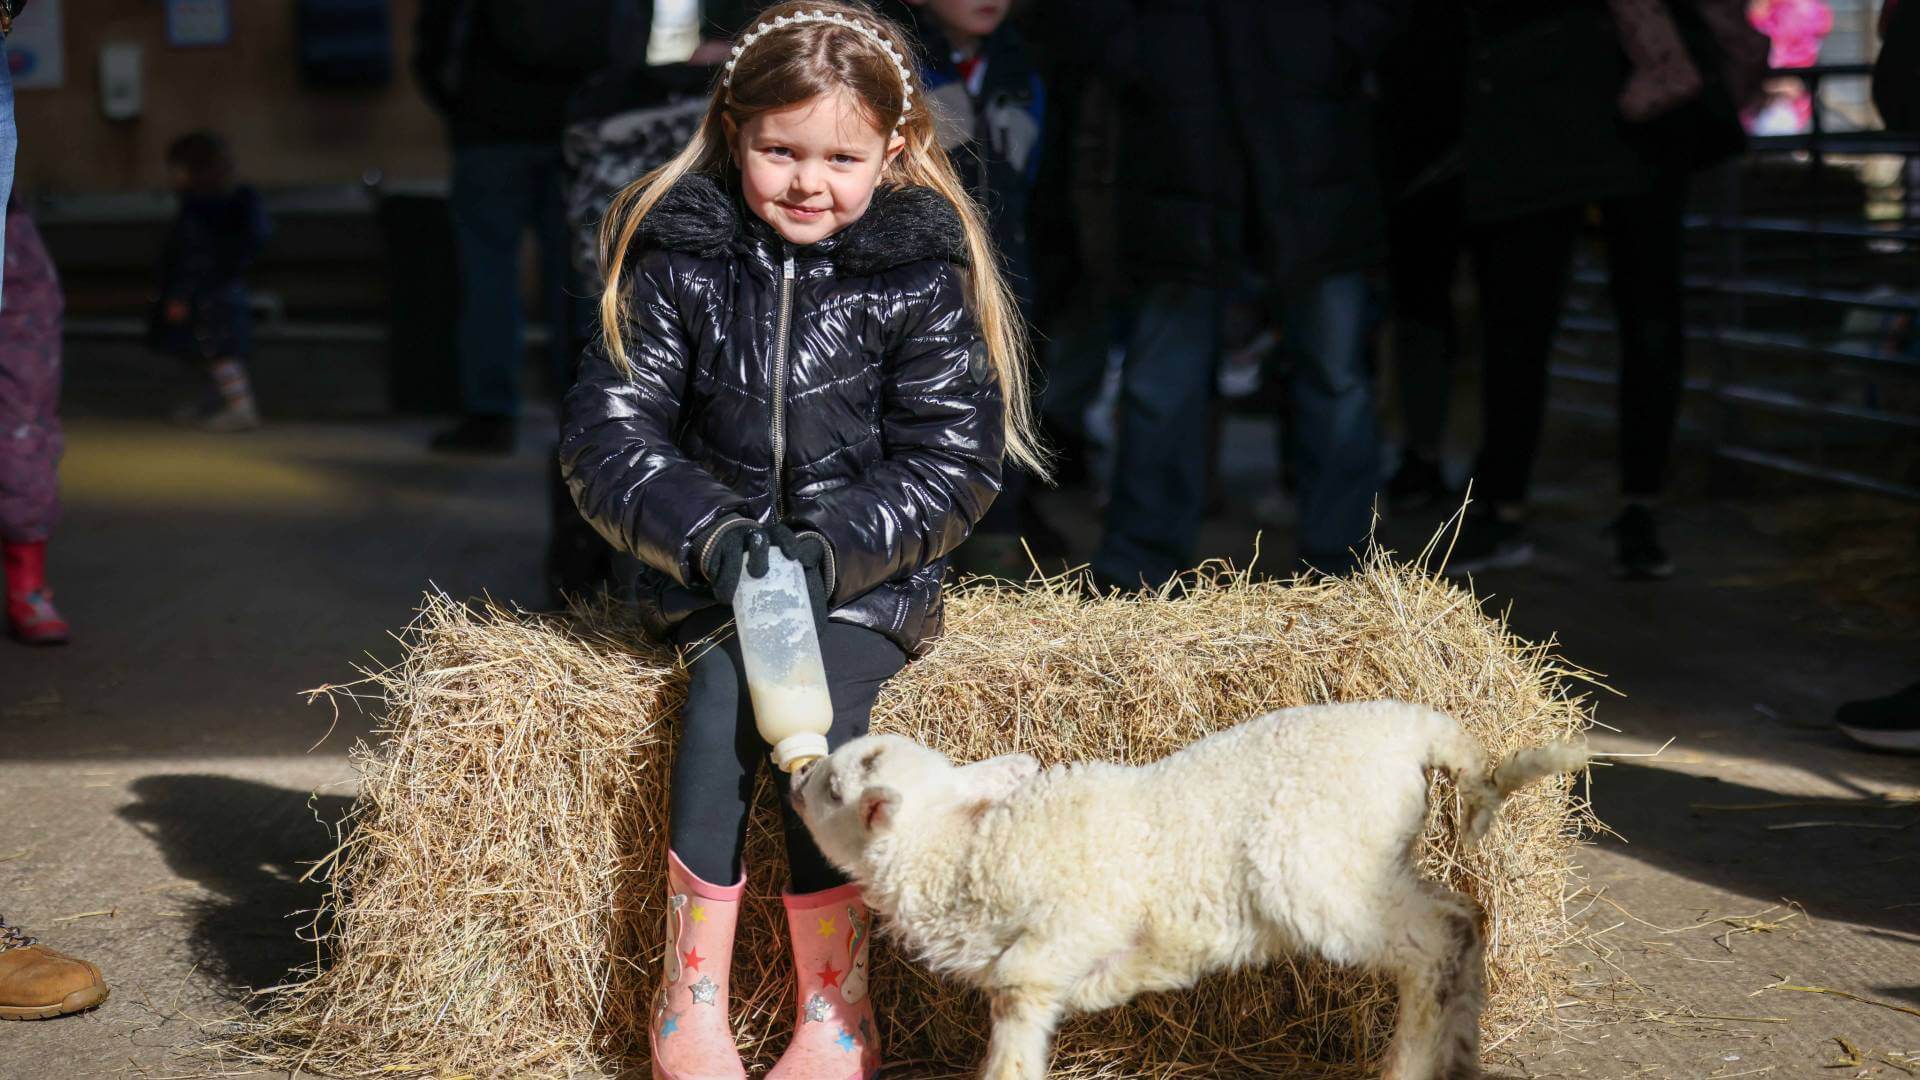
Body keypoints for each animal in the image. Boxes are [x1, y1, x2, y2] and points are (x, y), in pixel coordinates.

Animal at [787, 691, 1582, 1068]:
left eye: (833, 790)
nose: (794, 783)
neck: (961, 852)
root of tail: (1412, 729)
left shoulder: (1074, 918)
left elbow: (1017, 994)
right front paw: (1127, 978)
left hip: (1323, 874)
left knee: (1436, 940)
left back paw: (1412, 1064)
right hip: (1369, 863)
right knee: (1462, 920)